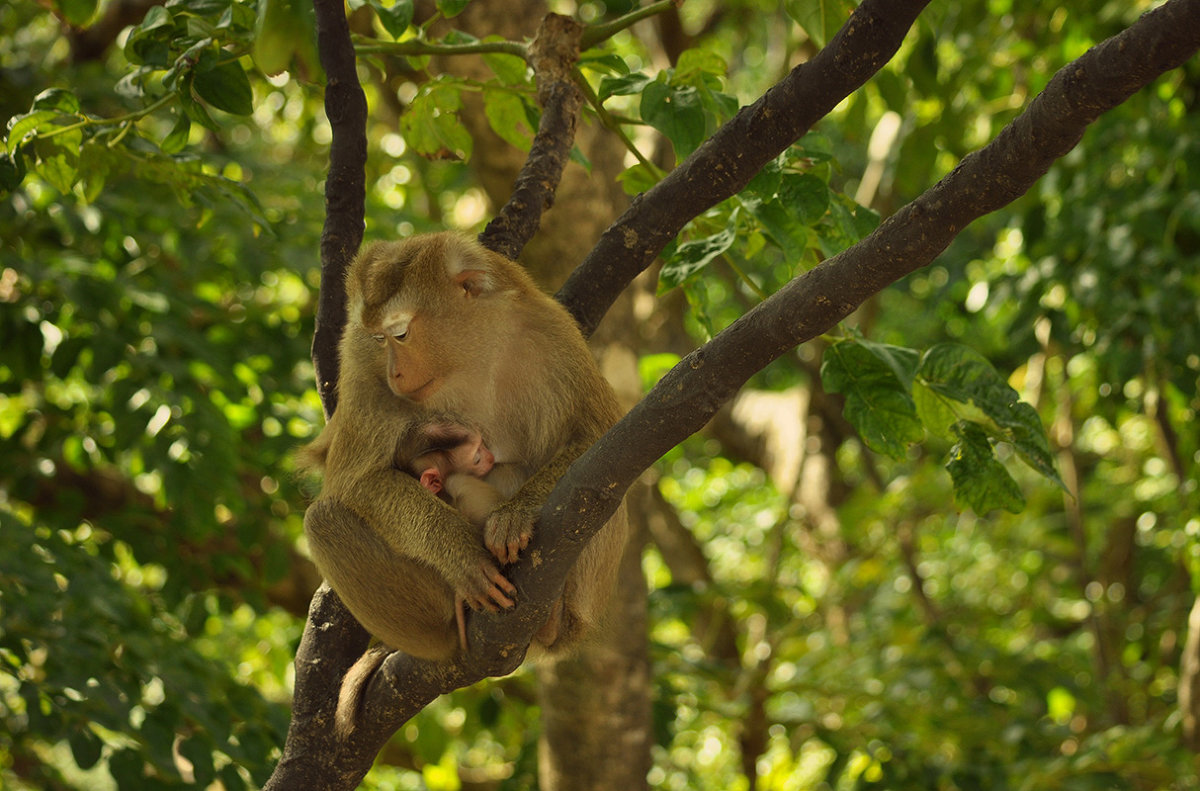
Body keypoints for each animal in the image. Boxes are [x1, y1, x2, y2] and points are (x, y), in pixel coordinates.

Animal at [297, 230, 628, 667]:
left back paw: (553, 618)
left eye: (400, 334)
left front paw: (515, 516)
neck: (469, 353)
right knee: (324, 520)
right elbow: (357, 482)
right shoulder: (359, 359)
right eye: (379, 339)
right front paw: (461, 554)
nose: (394, 373)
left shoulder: (551, 332)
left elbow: (598, 437)